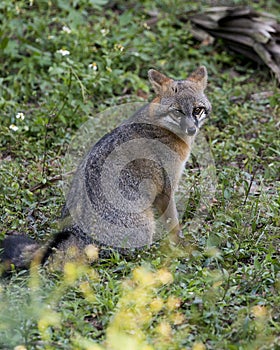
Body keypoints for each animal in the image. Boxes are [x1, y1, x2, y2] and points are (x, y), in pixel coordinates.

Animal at [0, 66, 210, 270]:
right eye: (177, 112)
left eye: (197, 110)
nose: (192, 129)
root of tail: (74, 232)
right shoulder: (166, 189)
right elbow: (173, 224)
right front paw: (180, 245)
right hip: (145, 224)